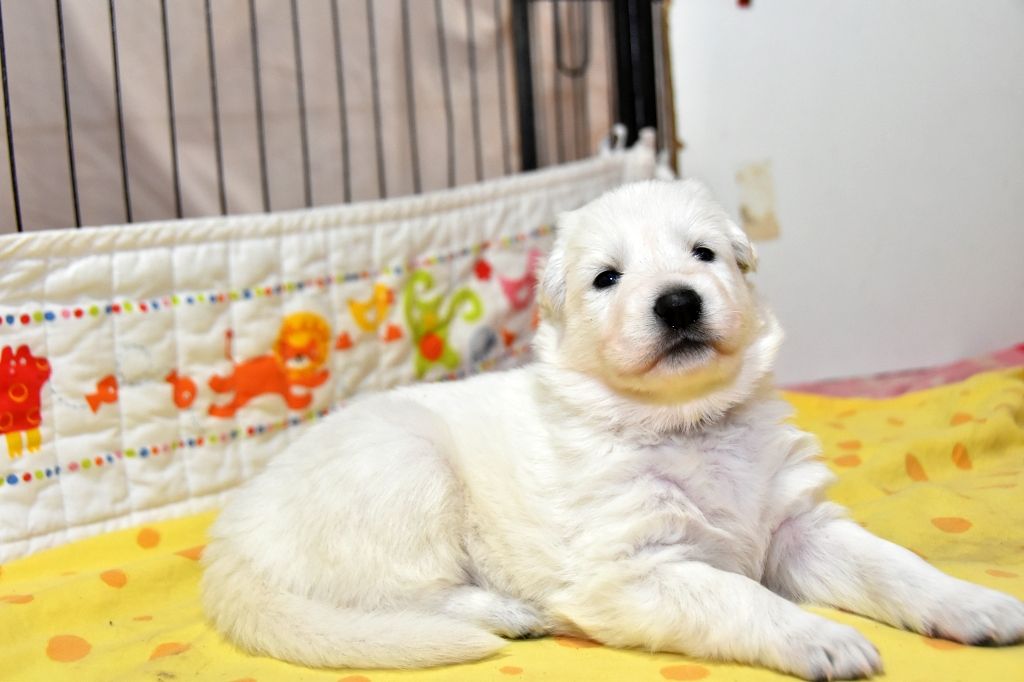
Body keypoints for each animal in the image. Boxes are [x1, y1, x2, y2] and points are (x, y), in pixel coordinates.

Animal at [201, 180, 1024, 679]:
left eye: (704, 253)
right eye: (607, 278)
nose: (679, 302)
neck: (687, 422)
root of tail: (231, 533)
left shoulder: (800, 527)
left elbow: (895, 565)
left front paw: (977, 606)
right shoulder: (630, 570)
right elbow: (740, 597)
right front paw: (822, 637)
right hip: (407, 473)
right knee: (396, 601)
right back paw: (509, 612)